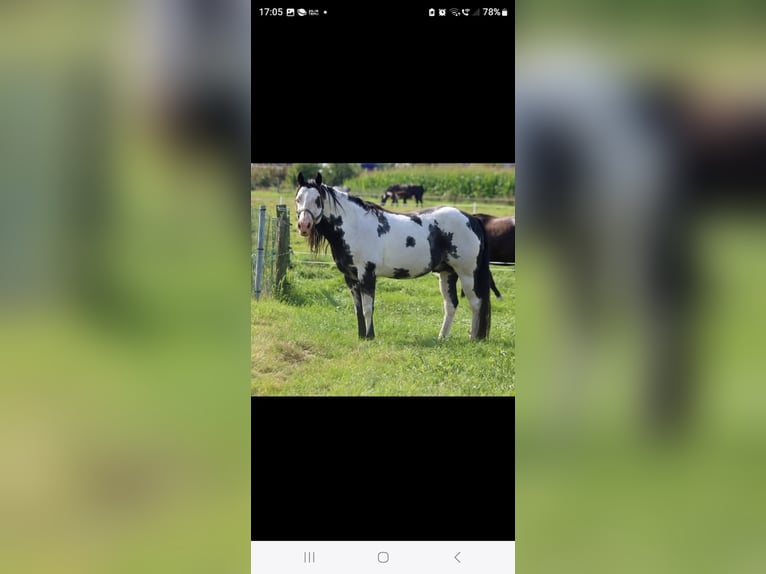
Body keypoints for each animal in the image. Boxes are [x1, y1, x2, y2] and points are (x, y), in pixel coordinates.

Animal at [296, 172, 491, 340]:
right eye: (298, 198)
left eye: (317, 199)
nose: (304, 225)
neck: (355, 226)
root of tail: (471, 218)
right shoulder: (350, 277)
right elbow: (358, 309)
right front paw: (361, 336)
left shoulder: (367, 274)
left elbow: (368, 308)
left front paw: (370, 337)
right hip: (447, 273)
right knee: (451, 305)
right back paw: (442, 338)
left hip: (467, 274)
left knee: (476, 303)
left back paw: (474, 338)